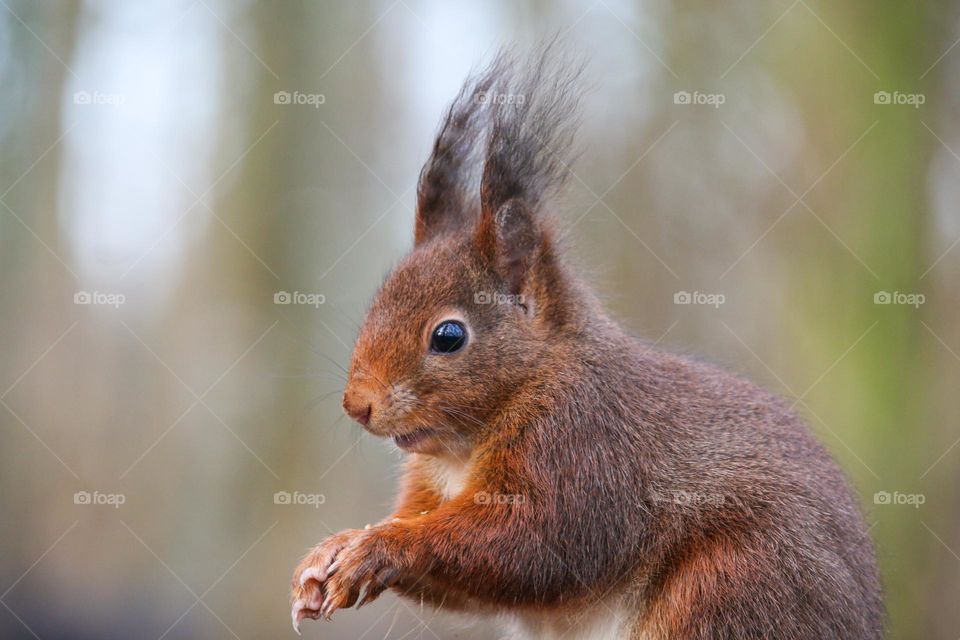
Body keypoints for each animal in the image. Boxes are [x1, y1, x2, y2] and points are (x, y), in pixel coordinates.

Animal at [288, 50, 880, 640]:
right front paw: (331, 551)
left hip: (732, 583)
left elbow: (535, 545)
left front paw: (379, 547)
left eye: (448, 336)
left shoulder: (583, 444)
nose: (357, 405)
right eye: (376, 302)